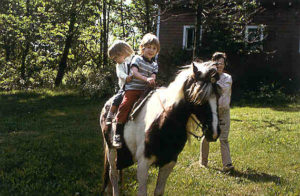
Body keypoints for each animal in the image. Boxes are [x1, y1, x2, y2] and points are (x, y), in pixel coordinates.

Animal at [99, 61, 221, 196]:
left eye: (218, 96)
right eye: (199, 98)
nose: (214, 132)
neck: (163, 122)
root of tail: (107, 105)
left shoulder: (169, 162)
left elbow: (158, 191)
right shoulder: (143, 163)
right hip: (111, 150)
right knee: (113, 175)